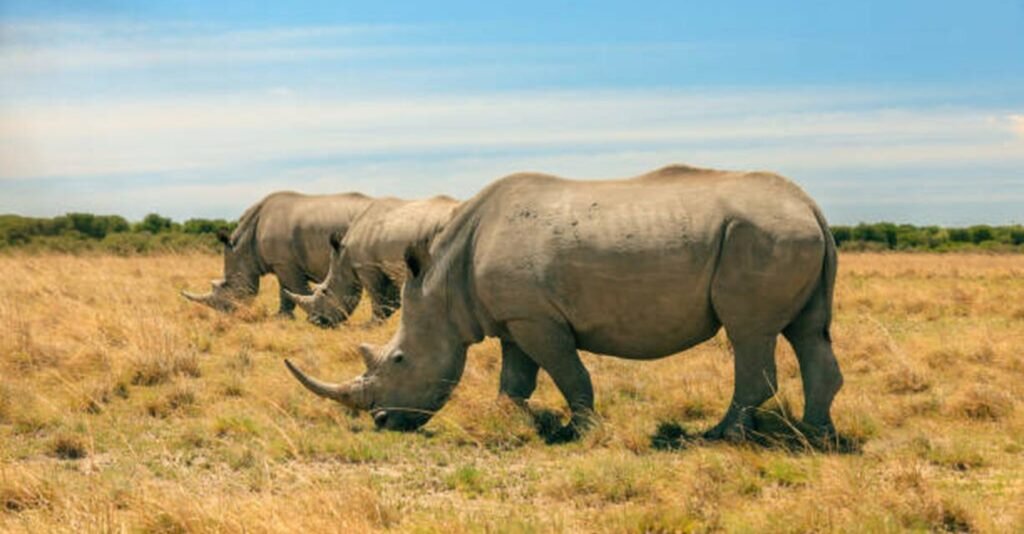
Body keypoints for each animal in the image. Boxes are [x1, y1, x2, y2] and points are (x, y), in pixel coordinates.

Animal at [182, 191, 373, 317]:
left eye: (226, 285)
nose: (225, 314)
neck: (244, 247)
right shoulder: (281, 262)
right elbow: (285, 290)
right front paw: (282, 317)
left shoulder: (285, 263)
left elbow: (296, 289)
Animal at [285, 196, 460, 327]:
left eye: (325, 291)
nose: (315, 322)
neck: (344, 257)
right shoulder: (386, 267)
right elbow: (391, 299)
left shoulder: (367, 266)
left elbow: (376, 295)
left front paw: (371, 325)